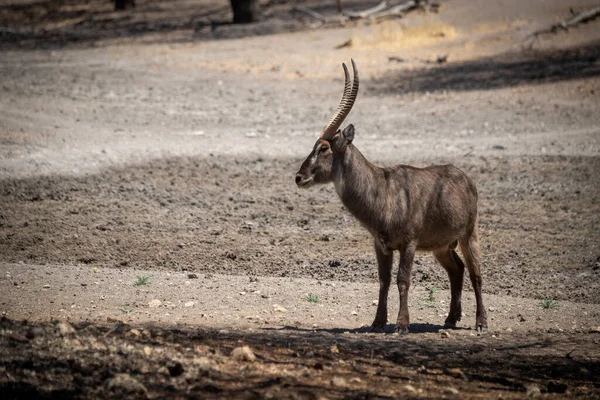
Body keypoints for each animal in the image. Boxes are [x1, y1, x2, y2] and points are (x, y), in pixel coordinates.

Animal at [296, 60, 488, 334]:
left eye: (323, 148)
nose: (299, 177)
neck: (382, 190)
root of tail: (466, 179)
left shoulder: (409, 243)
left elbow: (402, 279)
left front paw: (401, 325)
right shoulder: (381, 245)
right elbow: (384, 280)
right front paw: (377, 322)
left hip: (468, 235)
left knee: (476, 273)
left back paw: (481, 323)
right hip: (441, 246)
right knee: (457, 269)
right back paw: (451, 319)